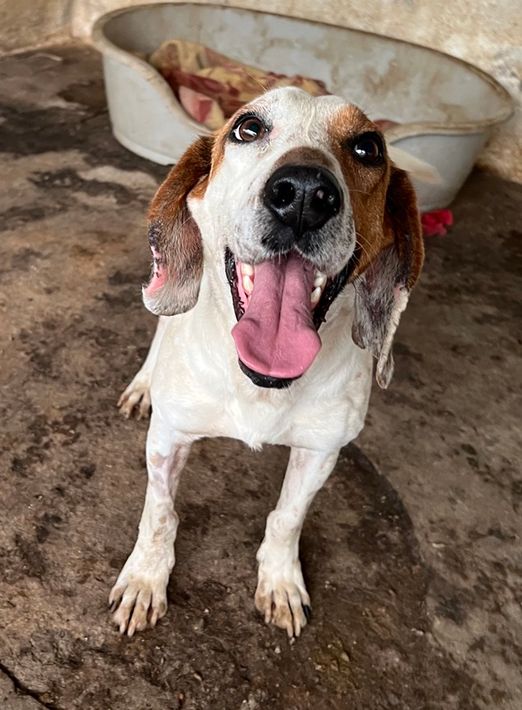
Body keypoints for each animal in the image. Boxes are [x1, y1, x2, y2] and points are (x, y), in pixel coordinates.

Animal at [109, 87, 424, 638]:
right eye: (248, 128)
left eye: (368, 148)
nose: (304, 192)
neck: (260, 383)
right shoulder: (168, 439)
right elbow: (160, 514)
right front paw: (146, 578)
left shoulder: (320, 452)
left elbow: (287, 517)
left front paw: (280, 580)